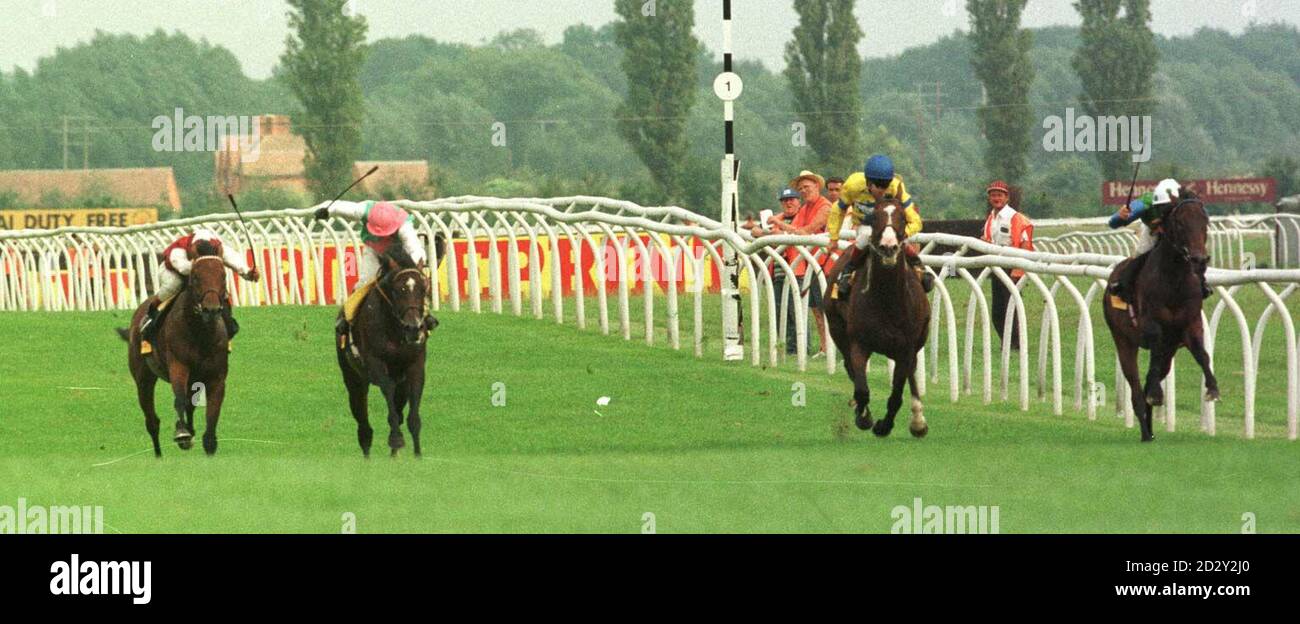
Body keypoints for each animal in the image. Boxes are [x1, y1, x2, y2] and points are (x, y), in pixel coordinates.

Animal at [119, 244, 236, 457]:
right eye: (196, 277)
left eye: (223, 275)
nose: (211, 309)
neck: (200, 332)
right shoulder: (178, 365)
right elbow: (179, 399)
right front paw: (182, 433)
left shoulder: (216, 375)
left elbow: (213, 409)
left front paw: (209, 442)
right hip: (143, 377)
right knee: (152, 420)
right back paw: (159, 455)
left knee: (189, 405)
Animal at [332, 244, 439, 457]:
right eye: (399, 290)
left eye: (423, 288)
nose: (414, 328)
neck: (395, 330)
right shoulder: (376, 363)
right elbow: (388, 394)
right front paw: (396, 439)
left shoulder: (415, 366)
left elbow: (413, 417)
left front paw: (417, 455)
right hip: (353, 378)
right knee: (364, 425)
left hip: (401, 383)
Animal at [821, 197, 935, 436]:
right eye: (874, 217)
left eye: (903, 218)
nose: (888, 247)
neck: (887, 299)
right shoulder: (859, 343)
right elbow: (862, 388)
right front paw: (864, 417)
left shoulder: (906, 348)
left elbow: (897, 394)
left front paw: (885, 425)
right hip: (837, 329)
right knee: (850, 368)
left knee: (911, 373)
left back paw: (918, 421)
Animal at [1107, 187, 1216, 441]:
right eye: (1179, 223)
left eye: (1205, 221)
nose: (1199, 259)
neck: (1174, 281)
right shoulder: (1151, 324)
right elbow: (1155, 344)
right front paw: (1156, 394)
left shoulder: (1190, 324)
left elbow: (1202, 354)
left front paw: (1212, 388)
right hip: (1123, 340)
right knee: (1136, 385)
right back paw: (1145, 429)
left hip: (1170, 350)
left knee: (1151, 376)